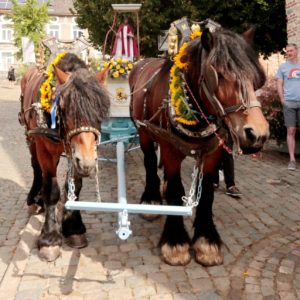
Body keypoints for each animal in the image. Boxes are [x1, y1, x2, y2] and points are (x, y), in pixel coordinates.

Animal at [19, 54, 110, 262]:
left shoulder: (74, 154)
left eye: (101, 112)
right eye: (65, 108)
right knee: (35, 167)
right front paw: (49, 238)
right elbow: (51, 189)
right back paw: (35, 199)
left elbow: (74, 187)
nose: (87, 162)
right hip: (30, 137)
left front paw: (73, 227)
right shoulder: (45, 150)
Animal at [129, 28, 270, 266]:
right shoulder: (170, 149)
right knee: (149, 162)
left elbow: (207, 194)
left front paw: (206, 241)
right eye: (219, 74)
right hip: (144, 133)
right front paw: (175, 242)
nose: (257, 134)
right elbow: (176, 189)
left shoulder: (213, 152)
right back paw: (151, 198)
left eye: (256, 78)